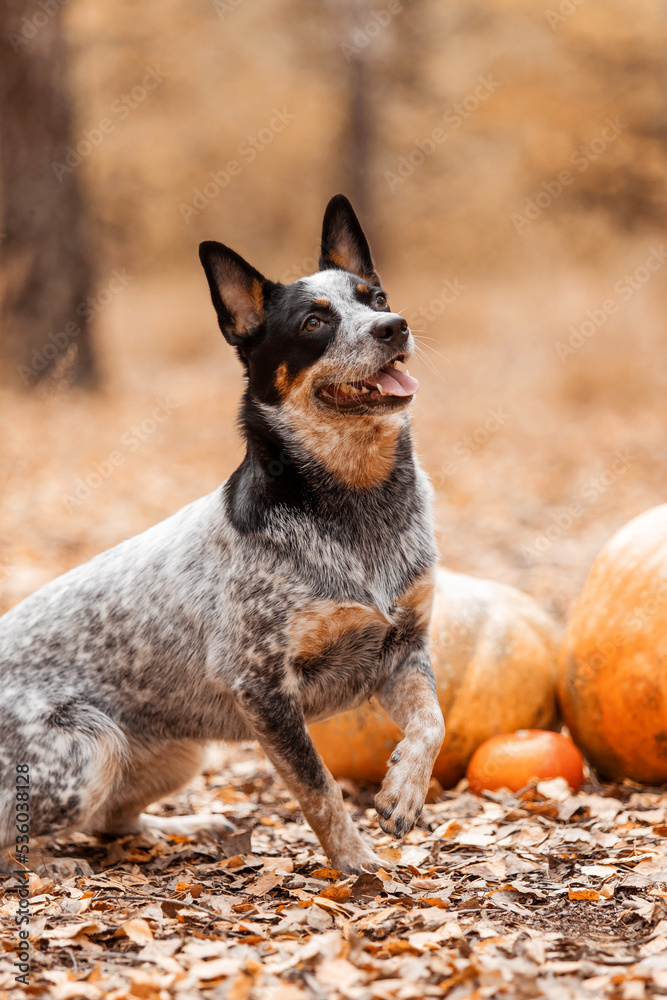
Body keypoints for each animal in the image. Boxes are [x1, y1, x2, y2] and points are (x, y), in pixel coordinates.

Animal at [1, 197, 448, 876]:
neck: (358, 502)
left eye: (375, 297)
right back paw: (53, 866)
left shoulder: (401, 651)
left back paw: (184, 827)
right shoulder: (261, 686)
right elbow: (318, 787)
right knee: (20, 834)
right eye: (314, 322)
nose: (393, 327)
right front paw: (356, 864)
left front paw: (402, 792)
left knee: (112, 821)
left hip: (177, 753)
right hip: (87, 748)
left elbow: (432, 722)